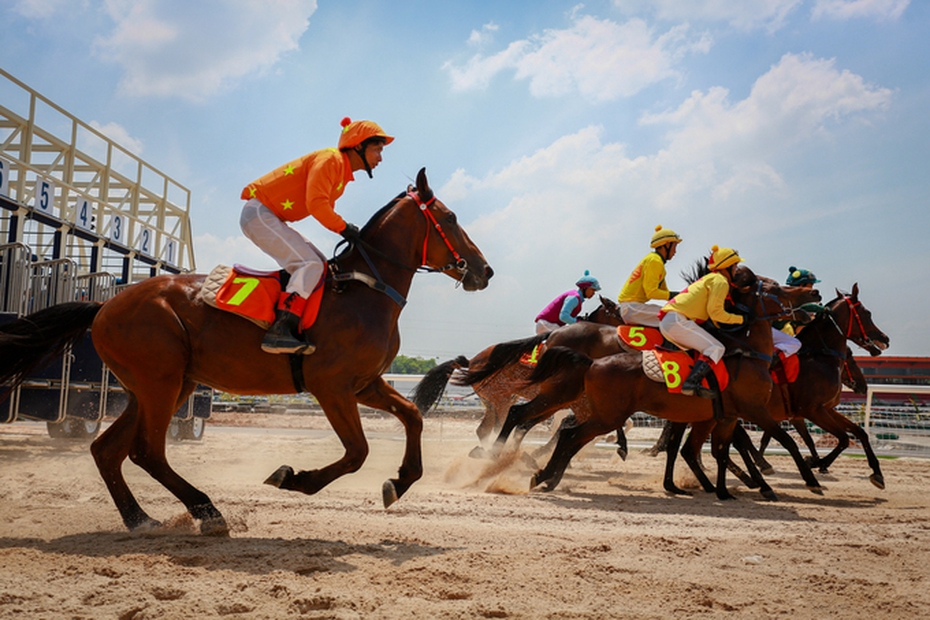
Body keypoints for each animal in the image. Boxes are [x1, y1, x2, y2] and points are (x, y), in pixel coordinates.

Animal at [0, 168, 492, 532]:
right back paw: (207, 510)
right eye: (450, 218)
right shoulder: (331, 386)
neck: (365, 290)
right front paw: (294, 479)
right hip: (161, 382)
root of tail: (103, 305)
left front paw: (400, 481)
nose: (484, 270)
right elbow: (357, 452)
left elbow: (411, 416)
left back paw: (140, 518)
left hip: (162, 386)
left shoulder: (364, 383)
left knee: (108, 449)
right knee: (146, 451)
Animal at [520, 264, 824, 502]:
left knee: (560, 429)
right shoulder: (752, 410)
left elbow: (713, 448)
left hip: (588, 405)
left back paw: (541, 471)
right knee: (557, 428)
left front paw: (727, 486)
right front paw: (804, 480)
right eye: (776, 287)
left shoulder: (723, 415)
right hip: (596, 409)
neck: (744, 352)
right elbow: (783, 441)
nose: (814, 295)